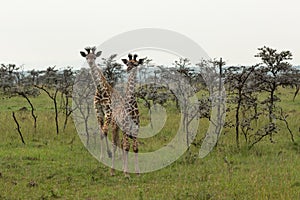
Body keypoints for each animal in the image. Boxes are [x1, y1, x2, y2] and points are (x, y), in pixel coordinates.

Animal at [81, 46, 122, 175]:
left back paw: (118, 154)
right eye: (86, 57)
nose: (90, 63)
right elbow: (101, 133)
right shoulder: (99, 112)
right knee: (115, 134)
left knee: (116, 135)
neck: (100, 90)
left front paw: (108, 154)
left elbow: (104, 132)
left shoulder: (108, 112)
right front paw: (103, 156)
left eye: (94, 57)